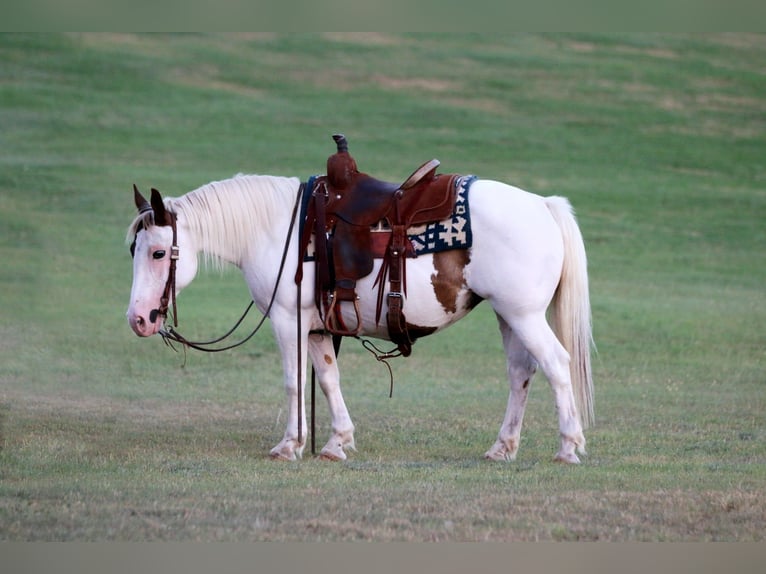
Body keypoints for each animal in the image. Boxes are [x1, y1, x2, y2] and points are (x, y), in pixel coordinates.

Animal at [126, 172, 594, 463]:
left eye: (158, 253)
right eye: (133, 250)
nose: (138, 319)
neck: (276, 230)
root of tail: (543, 205)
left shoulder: (287, 320)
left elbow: (293, 382)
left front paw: (289, 445)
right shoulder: (316, 327)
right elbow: (328, 379)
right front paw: (336, 442)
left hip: (524, 315)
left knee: (556, 365)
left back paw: (569, 447)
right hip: (508, 315)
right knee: (521, 373)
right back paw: (503, 448)